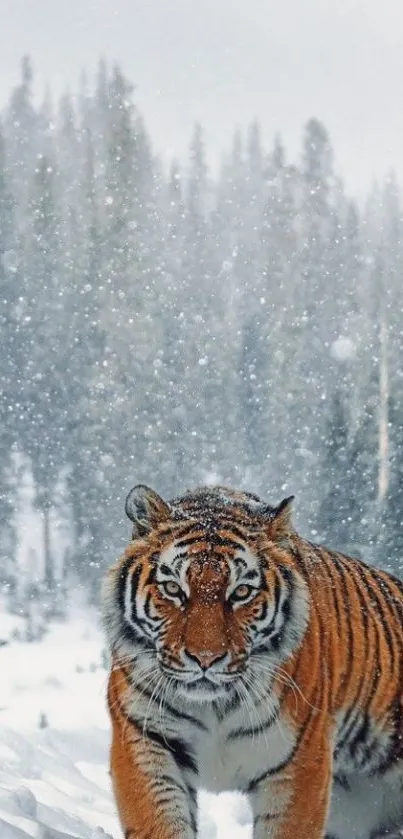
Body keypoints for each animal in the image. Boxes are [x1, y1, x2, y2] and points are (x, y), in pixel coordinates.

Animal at [102, 482, 403, 836]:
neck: (214, 707)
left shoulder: (299, 763)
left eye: (241, 592)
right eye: (174, 589)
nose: (205, 659)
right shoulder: (145, 740)